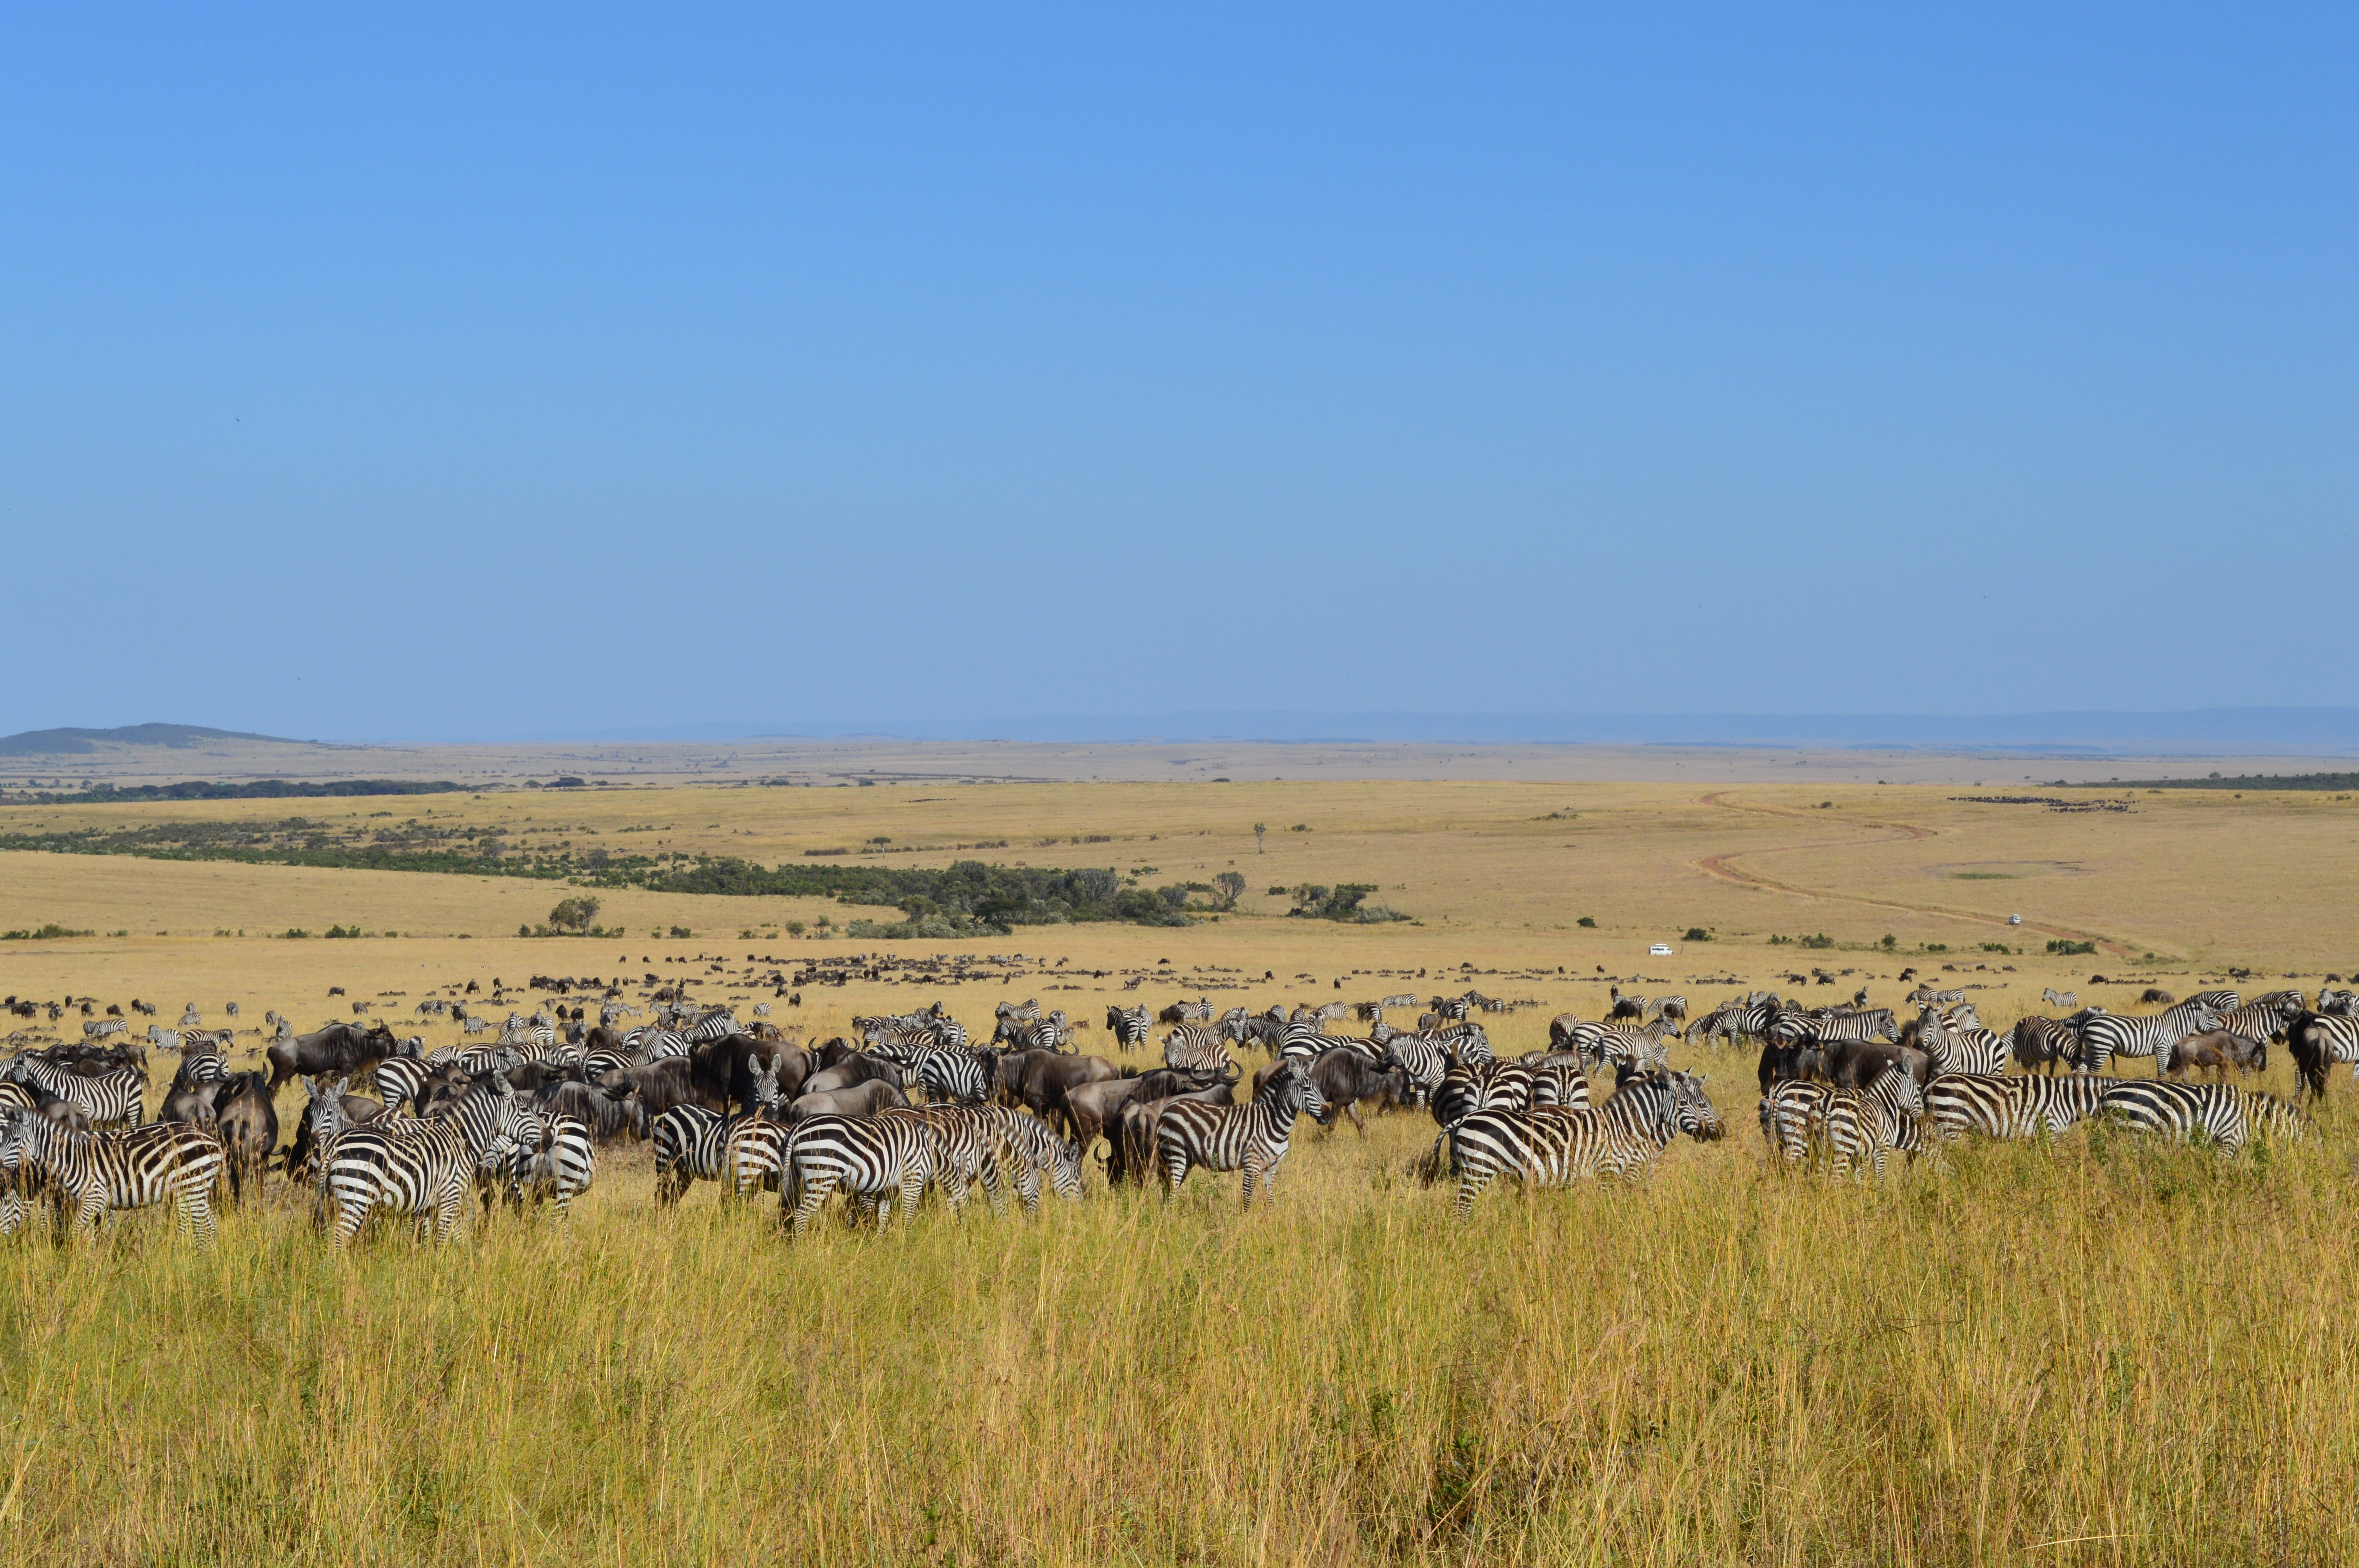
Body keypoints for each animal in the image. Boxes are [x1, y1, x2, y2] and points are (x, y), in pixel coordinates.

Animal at [2, 1056, 144, 1128]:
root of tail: (128, 1074)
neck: (64, 1087)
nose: (5, 1076)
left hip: (133, 1106)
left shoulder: (85, 1110)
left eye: (16, 1067)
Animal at [1155, 1063, 1327, 1206]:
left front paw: (1270, 1220)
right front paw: (1247, 1221)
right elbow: (1247, 1196)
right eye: (1306, 1089)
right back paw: (1171, 1217)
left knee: (1169, 1189)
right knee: (1172, 1188)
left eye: (1319, 1088)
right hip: (1175, 1152)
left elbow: (1270, 1197)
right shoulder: (1251, 1164)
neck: (1272, 1123)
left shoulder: (1272, 1166)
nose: (1329, 1115)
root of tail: (1167, 1109)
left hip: (1186, 1159)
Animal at [1445, 1071, 1720, 1216]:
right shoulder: (1612, 1171)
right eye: (1690, 1104)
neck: (1625, 1128)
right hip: (1478, 1170)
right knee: (1461, 1209)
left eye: (1703, 1103)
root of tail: (1465, 1118)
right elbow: (1615, 1206)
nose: (1718, 1133)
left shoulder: (1637, 1171)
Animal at [2077, 1001, 2221, 1075]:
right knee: (2094, 1071)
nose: (2220, 1030)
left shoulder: (2167, 1053)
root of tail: (2089, 1022)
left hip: (2091, 1048)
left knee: (2083, 1068)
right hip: (2102, 1047)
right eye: (2212, 1017)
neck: (2171, 1027)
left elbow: (2163, 1073)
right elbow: (2161, 1073)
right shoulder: (2161, 1050)